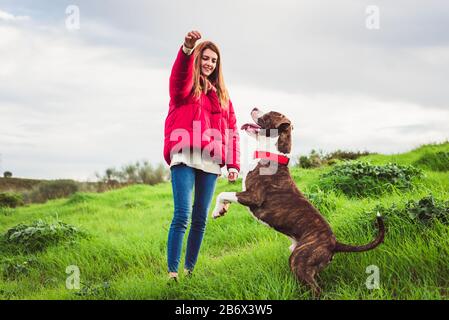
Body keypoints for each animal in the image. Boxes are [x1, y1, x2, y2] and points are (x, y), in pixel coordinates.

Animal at [212, 107, 384, 298]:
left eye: (268, 114)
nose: (255, 108)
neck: (273, 155)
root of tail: (334, 244)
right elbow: (225, 196)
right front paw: (221, 210)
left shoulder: (253, 196)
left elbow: (223, 193)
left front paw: (216, 211)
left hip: (299, 260)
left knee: (316, 289)